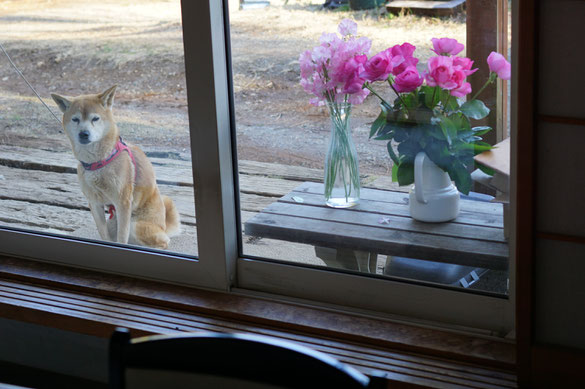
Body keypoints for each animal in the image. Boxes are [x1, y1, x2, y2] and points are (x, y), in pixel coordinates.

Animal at [52, 85, 180, 249]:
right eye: (75, 119)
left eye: (95, 118)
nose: (84, 134)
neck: (99, 162)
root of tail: (163, 225)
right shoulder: (94, 203)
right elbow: (104, 234)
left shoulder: (123, 203)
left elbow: (122, 237)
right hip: (114, 222)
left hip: (136, 225)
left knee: (162, 242)